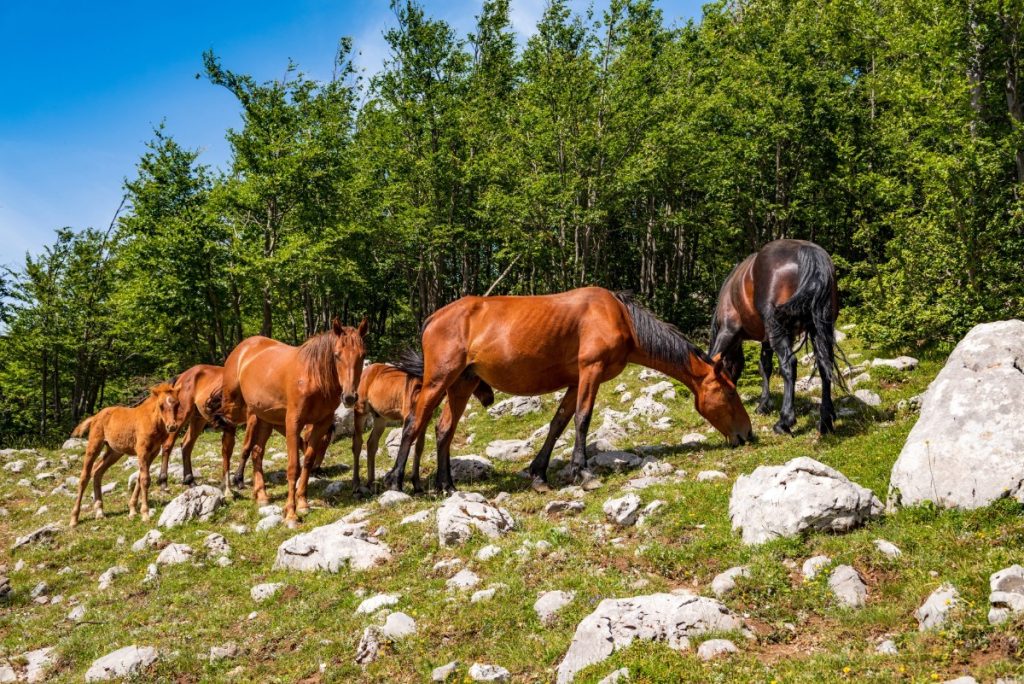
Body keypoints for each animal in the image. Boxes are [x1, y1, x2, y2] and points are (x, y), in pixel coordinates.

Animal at [70, 385, 184, 524]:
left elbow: (140, 478)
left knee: (97, 471)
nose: (172, 426)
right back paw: (74, 519)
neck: (153, 421)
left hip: (115, 451)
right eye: (161, 405)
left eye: (177, 404)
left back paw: (100, 512)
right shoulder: (142, 451)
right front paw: (145, 514)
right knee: (84, 476)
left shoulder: (153, 452)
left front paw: (133, 510)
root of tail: (94, 417)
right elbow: (145, 479)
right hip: (94, 444)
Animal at [216, 317, 368, 528]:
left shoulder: (321, 424)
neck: (313, 377)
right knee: (227, 448)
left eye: (362, 356)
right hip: (232, 411)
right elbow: (293, 467)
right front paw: (291, 514)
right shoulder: (293, 423)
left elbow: (308, 461)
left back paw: (261, 495)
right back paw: (228, 491)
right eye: (337, 355)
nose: (349, 397)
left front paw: (303, 503)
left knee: (257, 452)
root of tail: (242, 349)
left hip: (264, 418)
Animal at [352, 352, 495, 491]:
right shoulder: (409, 416)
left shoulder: (426, 418)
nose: (489, 398)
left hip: (380, 418)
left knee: (372, 444)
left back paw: (371, 483)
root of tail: (367, 370)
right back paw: (356, 484)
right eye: (479, 378)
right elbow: (409, 441)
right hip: (360, 411)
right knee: (357, 444)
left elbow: (419, 446)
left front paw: (417, 484)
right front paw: (398, 483)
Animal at [385, 286, 753, 493]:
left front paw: (539, 473)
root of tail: (433, 319)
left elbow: (558, 423)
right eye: (729, 392)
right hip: (438, 381)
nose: (748, 434)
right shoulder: (591, 371)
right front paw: (583, 472)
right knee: (413, 425)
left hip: (461, 384)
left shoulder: (577, 380)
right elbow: (582, 419)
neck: (621, 317)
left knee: (443, 429)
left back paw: (446, 485)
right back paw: (396, 482)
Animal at [708, 237, 843, 436]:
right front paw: (763, 404)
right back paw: (825, 420)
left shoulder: (728, 330)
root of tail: (808, 251)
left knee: (789, 364)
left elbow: (712, 358)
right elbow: (765, 367)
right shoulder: (766, 340)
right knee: (824, 365)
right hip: (818, 328)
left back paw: (785, 421)